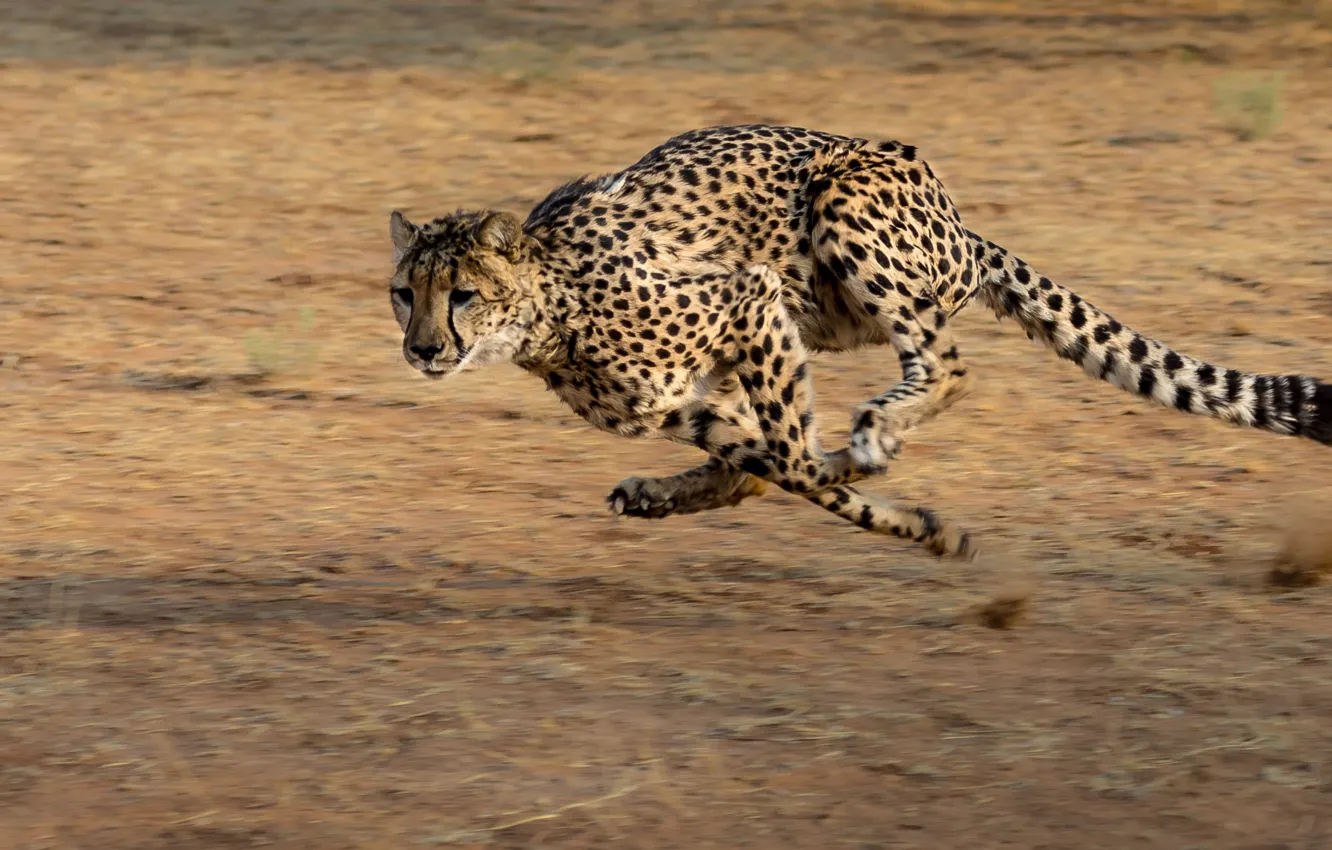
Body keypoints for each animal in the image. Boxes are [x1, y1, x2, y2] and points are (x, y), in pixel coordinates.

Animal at [385, 124, 1332, 559]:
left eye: (461, 294)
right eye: (404, 294)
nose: (423, 350)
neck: (548, 310)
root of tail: (959, 220)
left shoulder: (748, 298)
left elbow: (794, 464)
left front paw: (899, 501)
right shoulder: (684, 401)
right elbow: (772, 467)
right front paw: (916, 524)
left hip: (843, 209)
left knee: (946, 365)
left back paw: (877, 429)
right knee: (763, 460)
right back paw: (673, 491)